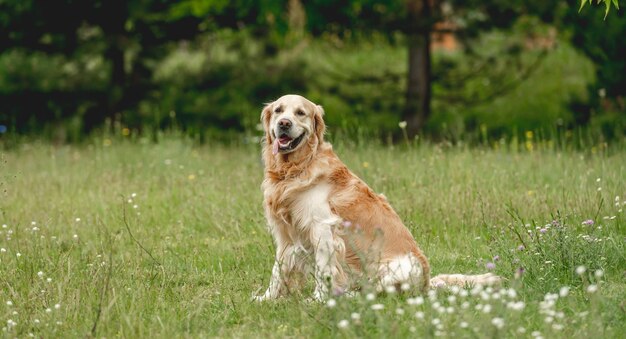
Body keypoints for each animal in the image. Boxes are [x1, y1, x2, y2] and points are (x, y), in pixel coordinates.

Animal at [252, 93, 498, 302]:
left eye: (300, 113)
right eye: (278, 110)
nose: (284, 123)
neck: (295, 169)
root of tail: (427, 284)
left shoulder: (323, 228)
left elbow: (324, 270)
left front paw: (318, 301)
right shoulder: (285, 234)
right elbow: (278, 269)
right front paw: (266, 298)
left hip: (396, 267)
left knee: (374, 292)